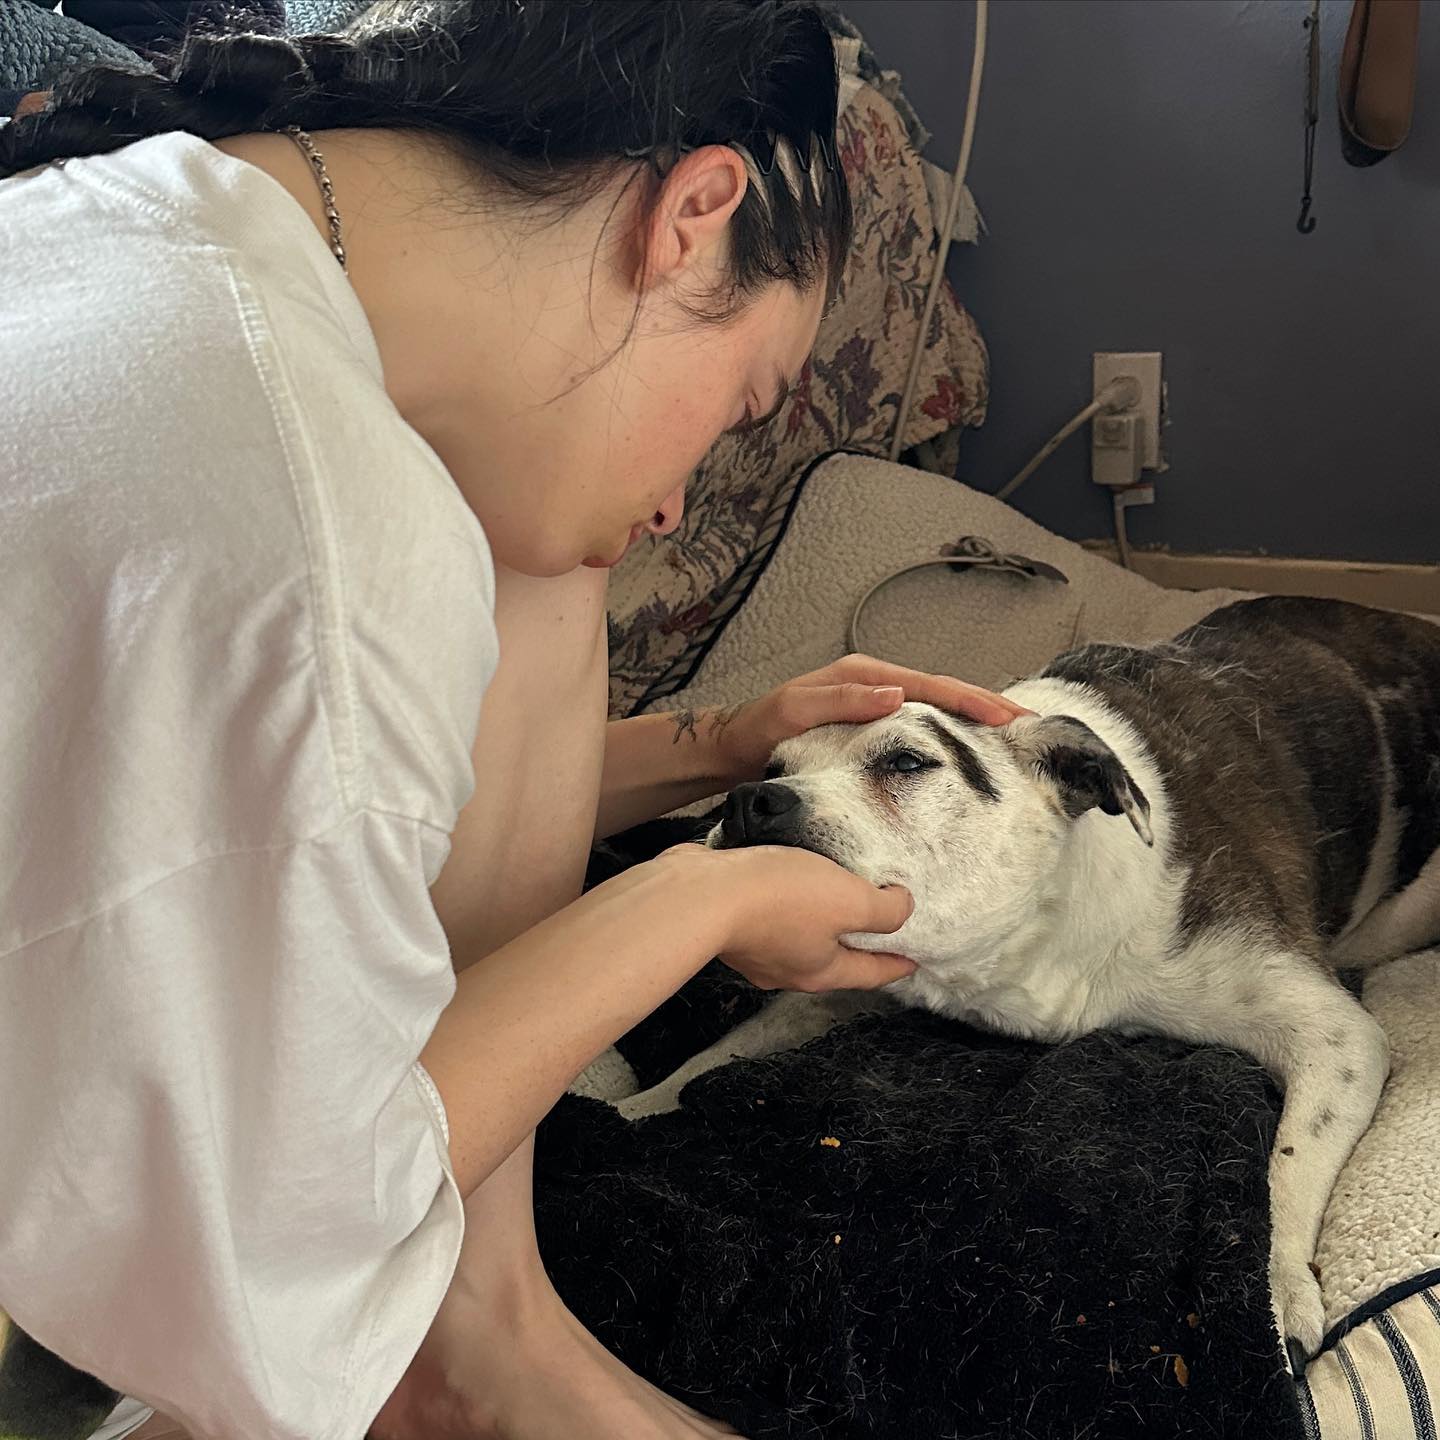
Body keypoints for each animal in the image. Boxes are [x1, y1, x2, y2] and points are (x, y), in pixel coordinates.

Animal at [616, 596, 1440, 1370]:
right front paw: (630, 1107)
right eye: (771, 768)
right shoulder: (844, 977)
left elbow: (1288, 1169)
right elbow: (727, 1049)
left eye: (907, 763)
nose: (748, 801)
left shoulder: (1333, 1037)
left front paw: (1277, 1291)